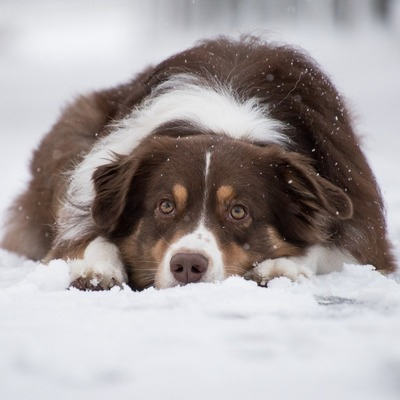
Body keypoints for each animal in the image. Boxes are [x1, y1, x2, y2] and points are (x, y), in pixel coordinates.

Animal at [0, 36, 396, 290]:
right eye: (164, 206)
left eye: (238, 211)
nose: (188, 265)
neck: (223, 123)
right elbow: (88, 236)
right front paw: (97, 267)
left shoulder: (363, 226)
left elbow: (328, 245)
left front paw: (283, 265)